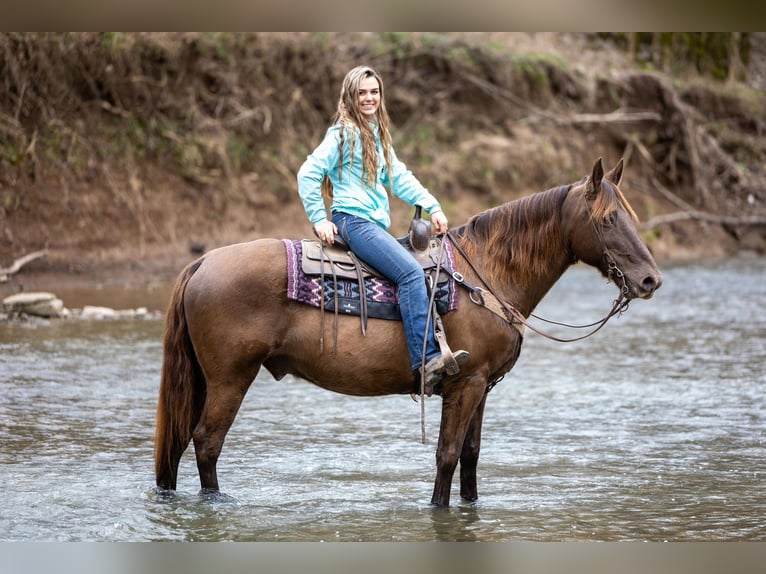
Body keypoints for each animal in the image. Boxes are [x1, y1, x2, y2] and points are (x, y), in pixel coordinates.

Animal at [153, 158, 664, 508]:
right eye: (606, 219)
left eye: (631, 216)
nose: (650, 280)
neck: (486, 275)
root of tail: (204, 261)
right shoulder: (465, 384)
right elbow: (447, 455)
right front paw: (437, 510)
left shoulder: (482, 386)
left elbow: (471, 456)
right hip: (230, 378)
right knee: (207, 442)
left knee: (178, 445)